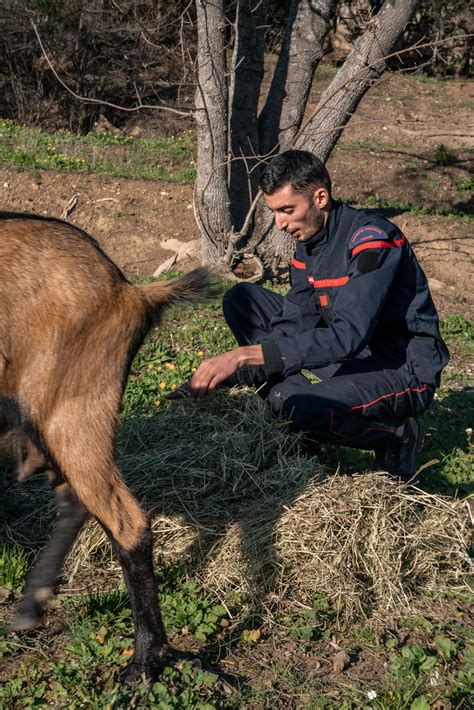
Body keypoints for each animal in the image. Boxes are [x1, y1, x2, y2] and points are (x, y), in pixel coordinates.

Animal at [0, 213, 216, 684]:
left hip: (71, 412)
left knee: (126, 522)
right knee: (75, 502)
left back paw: (145, 662)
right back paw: (30, 608)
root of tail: (129, 290)